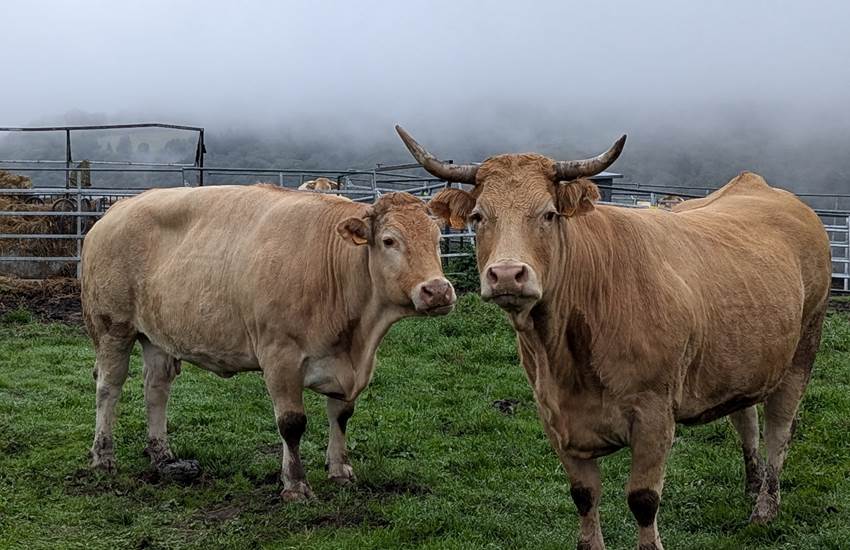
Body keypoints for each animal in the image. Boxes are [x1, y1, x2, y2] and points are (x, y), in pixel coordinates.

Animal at [81, 185, 456, 501]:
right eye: (390, 241)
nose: (437, 290)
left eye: (438, 238)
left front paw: (340, 470)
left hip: (158, 334)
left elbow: (341, 415)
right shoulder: (280, 356)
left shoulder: (351, 364)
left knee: (156, 387)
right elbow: (292, 423)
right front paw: (295, 485)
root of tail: (117, 210)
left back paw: (163, 455)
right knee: (108, 387)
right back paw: (104, 456)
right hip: (112, 326)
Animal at [395, 125, 830, 550]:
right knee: (746, 417)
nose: (506, 275)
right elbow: (584, 496)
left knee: (779, 428)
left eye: (549, 214)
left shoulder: (655, 415)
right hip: (743, 359)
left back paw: (765, 507)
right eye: (479, 216)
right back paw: (752, 487)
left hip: (804, 347)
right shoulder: (554, 416)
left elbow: (643, 500)